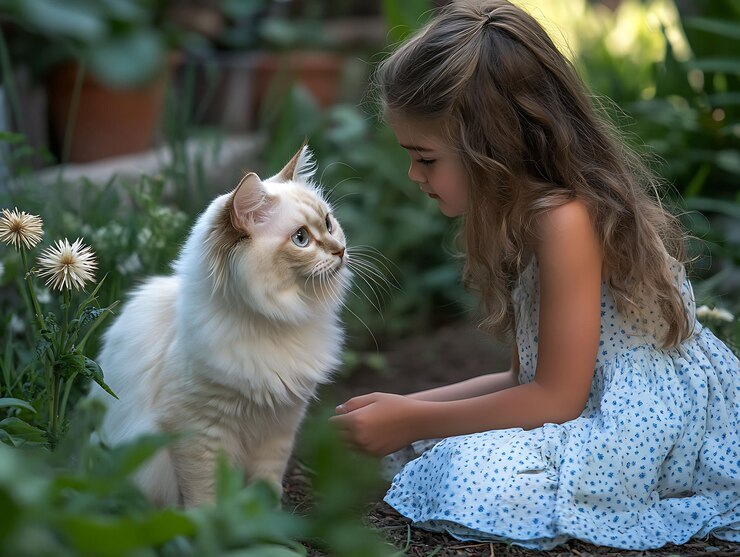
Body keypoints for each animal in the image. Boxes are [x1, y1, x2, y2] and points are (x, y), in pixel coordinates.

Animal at [89, 146, 350, 506]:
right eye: (301, 238)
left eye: (328, 223)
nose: (341, 251)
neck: (281, 319)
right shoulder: (199, 430)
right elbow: (205, 494)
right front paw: (210, 521)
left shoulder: (280, 426)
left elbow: (266, 484)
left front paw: (267, 514)